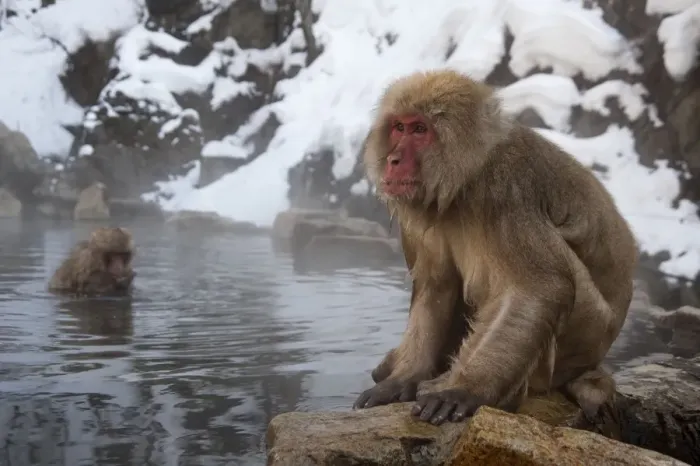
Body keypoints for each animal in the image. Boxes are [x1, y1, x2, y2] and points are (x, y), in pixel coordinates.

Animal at [352, 69, 638, 426]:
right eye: (399, 128)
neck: (465, 179)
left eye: (420, 130)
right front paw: (405, 377)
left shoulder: (506, 193)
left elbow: (539, 289)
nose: (393, 159)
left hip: (586, 333)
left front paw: (466, 389)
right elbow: (436, 286)